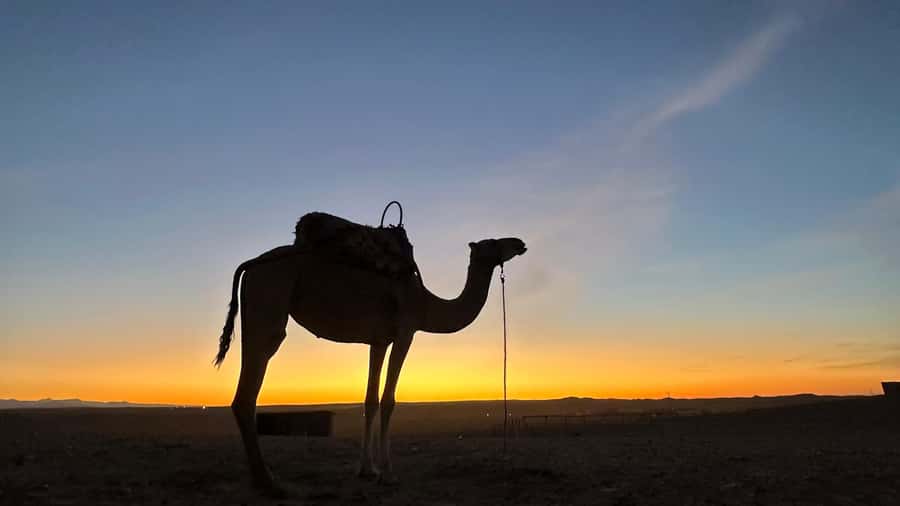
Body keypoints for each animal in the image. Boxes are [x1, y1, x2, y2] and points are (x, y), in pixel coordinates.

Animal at [214, 231, 526, 494]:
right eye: (493, 242)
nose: (519, 242)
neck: (425, 303)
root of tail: (251, 265)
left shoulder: (379, 341)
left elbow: (370, 400)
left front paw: (367, 469)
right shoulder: (405, 332)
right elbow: (388, 400)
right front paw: (387, 473)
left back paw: (262, 478)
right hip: (269, 300)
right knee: (248, 391)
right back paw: (267, 481)